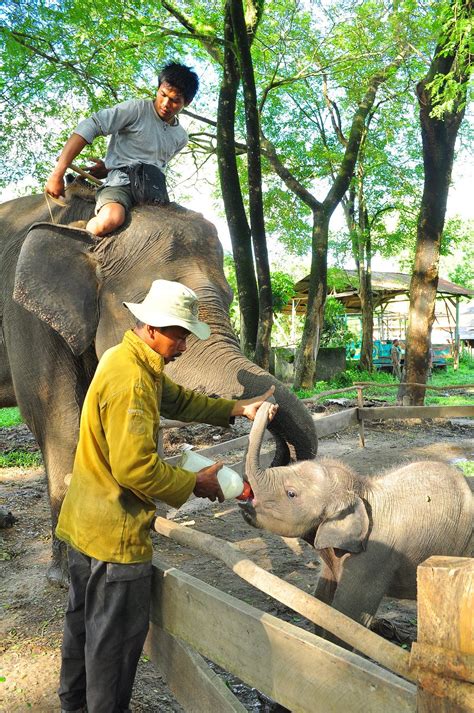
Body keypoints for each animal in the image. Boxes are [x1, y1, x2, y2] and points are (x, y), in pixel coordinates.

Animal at [1, 182, 318, 584]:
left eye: (229, 296)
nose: (270, 407)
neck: (86, 224)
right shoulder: (25, 317)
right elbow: (58, 421)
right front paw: (67, 576)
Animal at [243, 400, 472, 640]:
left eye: (291, 493)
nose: (268, 406)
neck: (362, 490)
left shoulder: (374, 557)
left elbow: (347, 616)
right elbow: (323, 601)